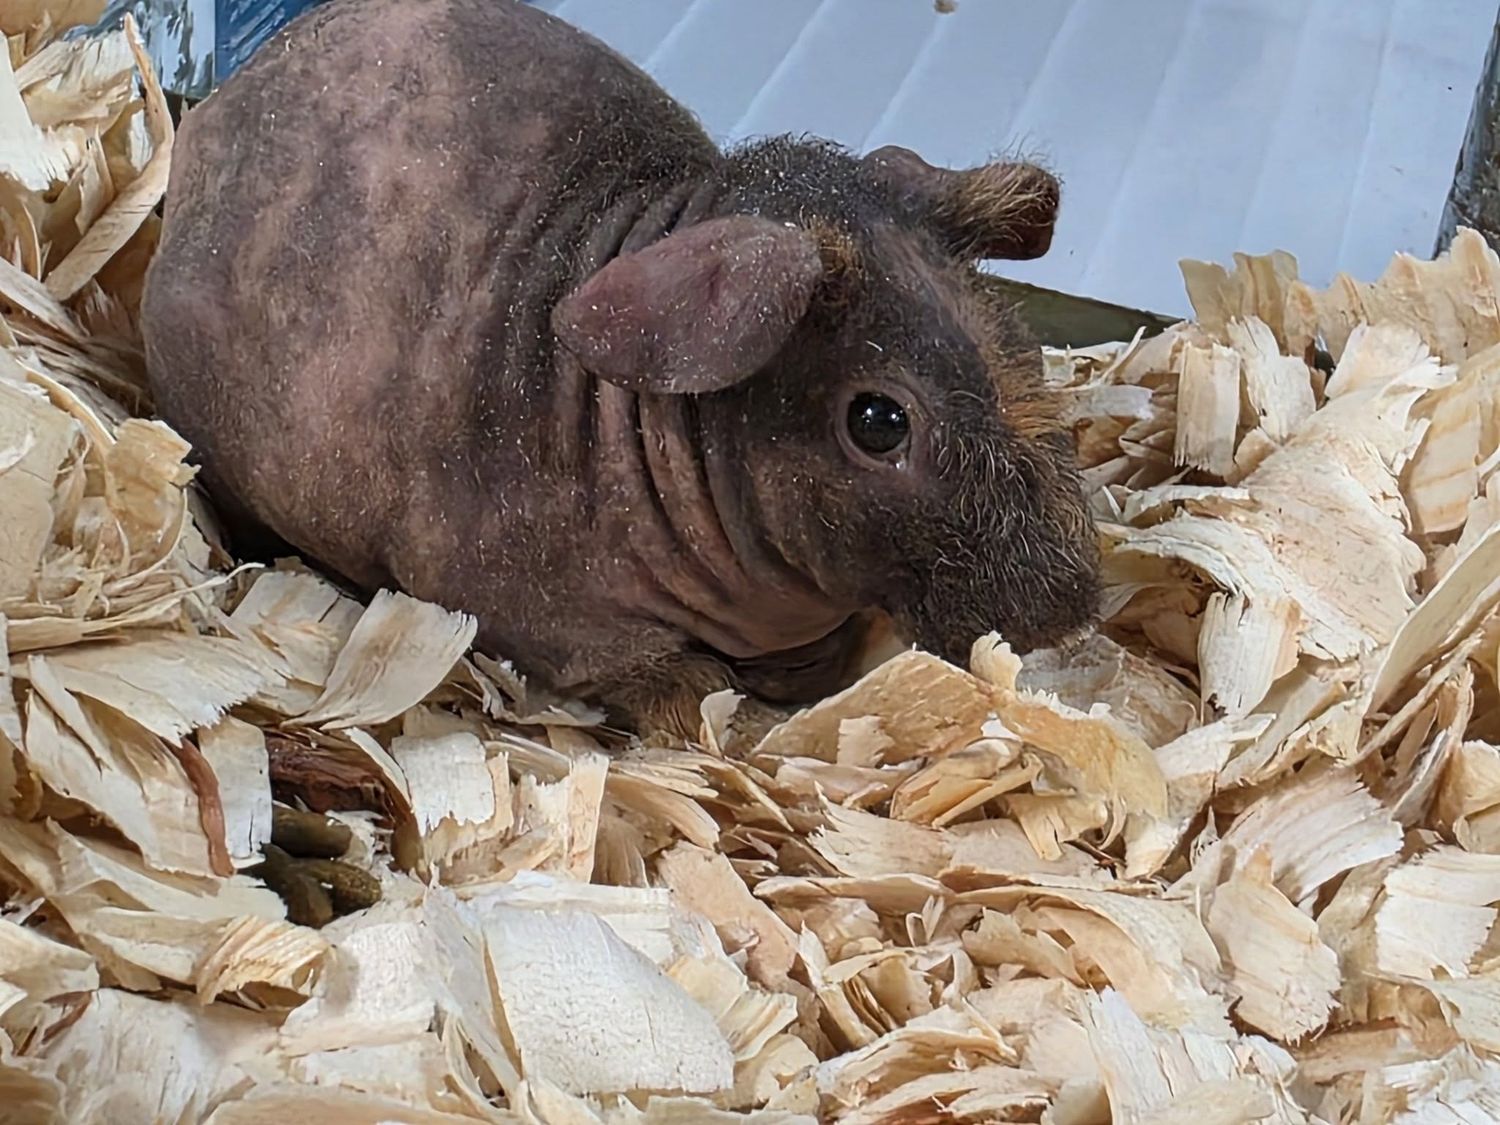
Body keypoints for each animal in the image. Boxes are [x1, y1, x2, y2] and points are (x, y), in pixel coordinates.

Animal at [140, 0, 1100, 738]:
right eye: (878, 421)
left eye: (1018, 342)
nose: (1072, 606)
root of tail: (211, 122)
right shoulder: (539, 615)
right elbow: (673, 684)